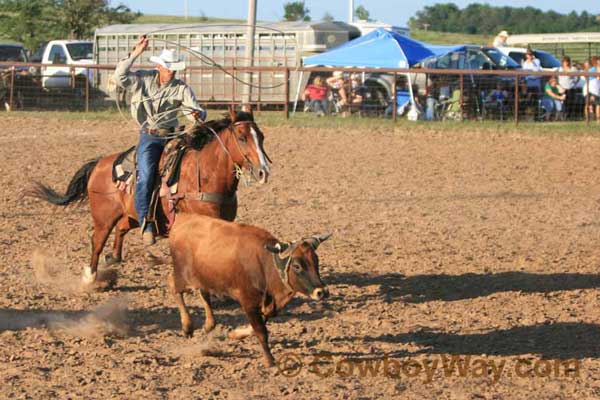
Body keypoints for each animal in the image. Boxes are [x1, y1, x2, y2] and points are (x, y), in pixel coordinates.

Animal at [28, 108, 270, 290]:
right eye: (242, 138)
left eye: (261, 137)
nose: (263, 172)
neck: (206, 174)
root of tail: (100, 163)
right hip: (103, 217)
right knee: (97, 242)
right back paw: (90, 278)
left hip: (134, 215)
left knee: (121, 228)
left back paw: (114, 257)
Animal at [168, 214, 332, 368]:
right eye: (297, 266)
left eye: (316, 261)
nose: (322, 291)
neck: (265, 265)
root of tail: (181, 219)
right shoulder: (248, 302)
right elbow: (260, 330)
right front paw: (269, 360)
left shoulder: (265, 304)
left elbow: (256, 327)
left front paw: (235, 334)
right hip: (183, 275)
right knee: (174, 287)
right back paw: (187, 327)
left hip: (204, 277)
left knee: (204, 293)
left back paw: (209, 324)